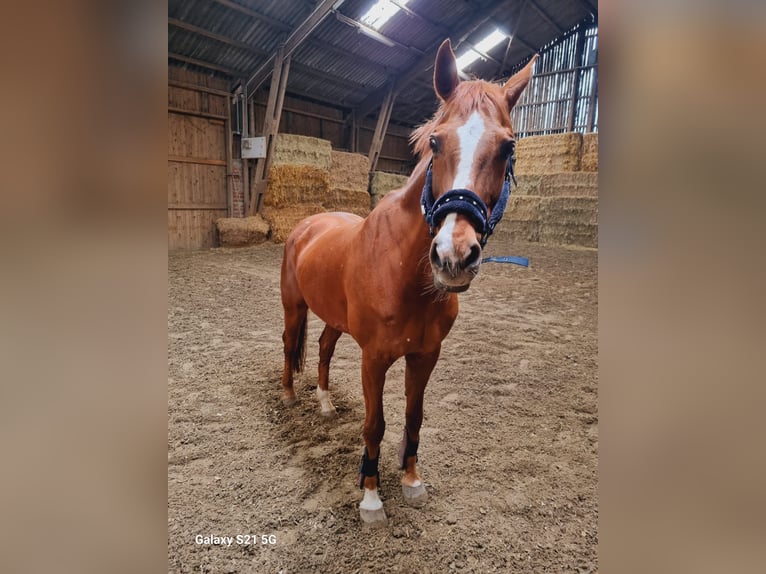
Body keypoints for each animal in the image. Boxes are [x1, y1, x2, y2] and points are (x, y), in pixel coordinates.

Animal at [280, 39, 536, 528]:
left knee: (322, 348)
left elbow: (413, 417)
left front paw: (412, 482)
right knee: (290, 346)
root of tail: (307, 224)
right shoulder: (374, 358)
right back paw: (287, 396)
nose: (453, 256)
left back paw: (324, 404)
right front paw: (370, 498)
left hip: (334, 320)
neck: (404, 274)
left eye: (508, 146)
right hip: (293, 307)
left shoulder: (425, 355)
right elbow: (374, 424)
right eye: (435, 141)